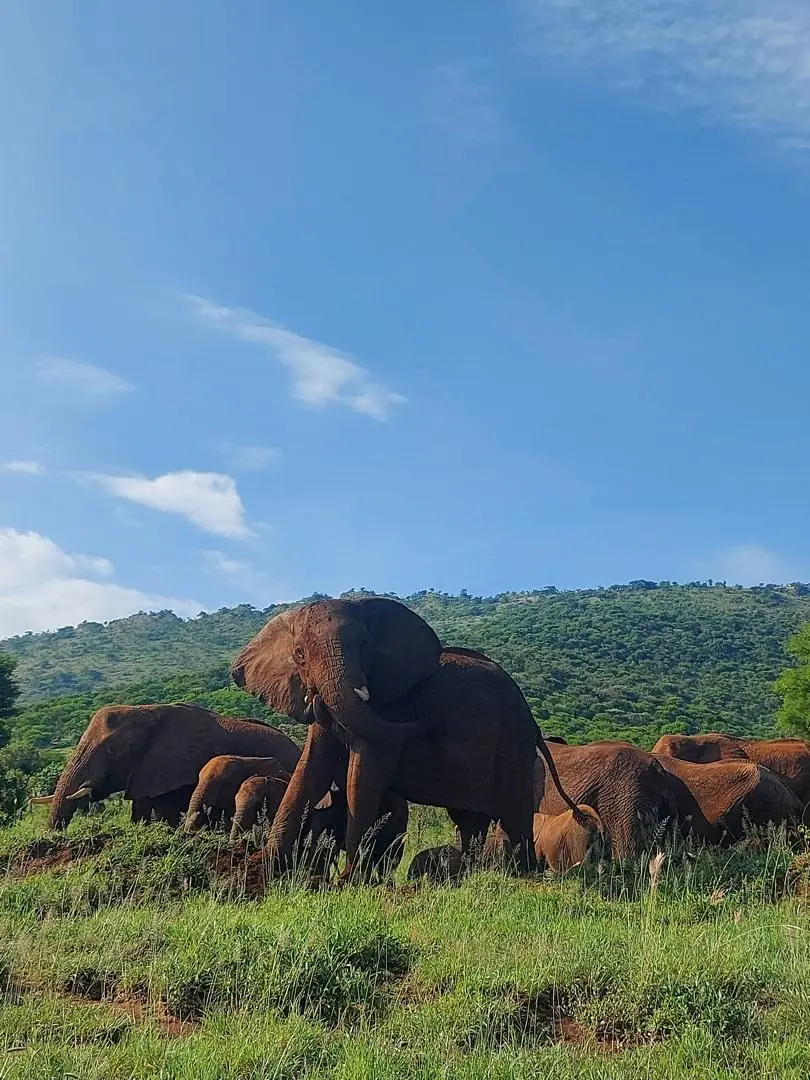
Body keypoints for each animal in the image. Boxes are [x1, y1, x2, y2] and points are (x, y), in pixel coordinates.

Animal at [231, 597, 581, 878]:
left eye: (365, 645)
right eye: (300, 654)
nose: (428, 725)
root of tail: (533, 722)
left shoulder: (390, 707)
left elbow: (365, 774)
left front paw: (348, 880)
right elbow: (310, 771)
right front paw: (265, 868)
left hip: (513, 744)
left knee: (514, 816)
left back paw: (523, 877)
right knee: (471, 820)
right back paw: (469, 875)